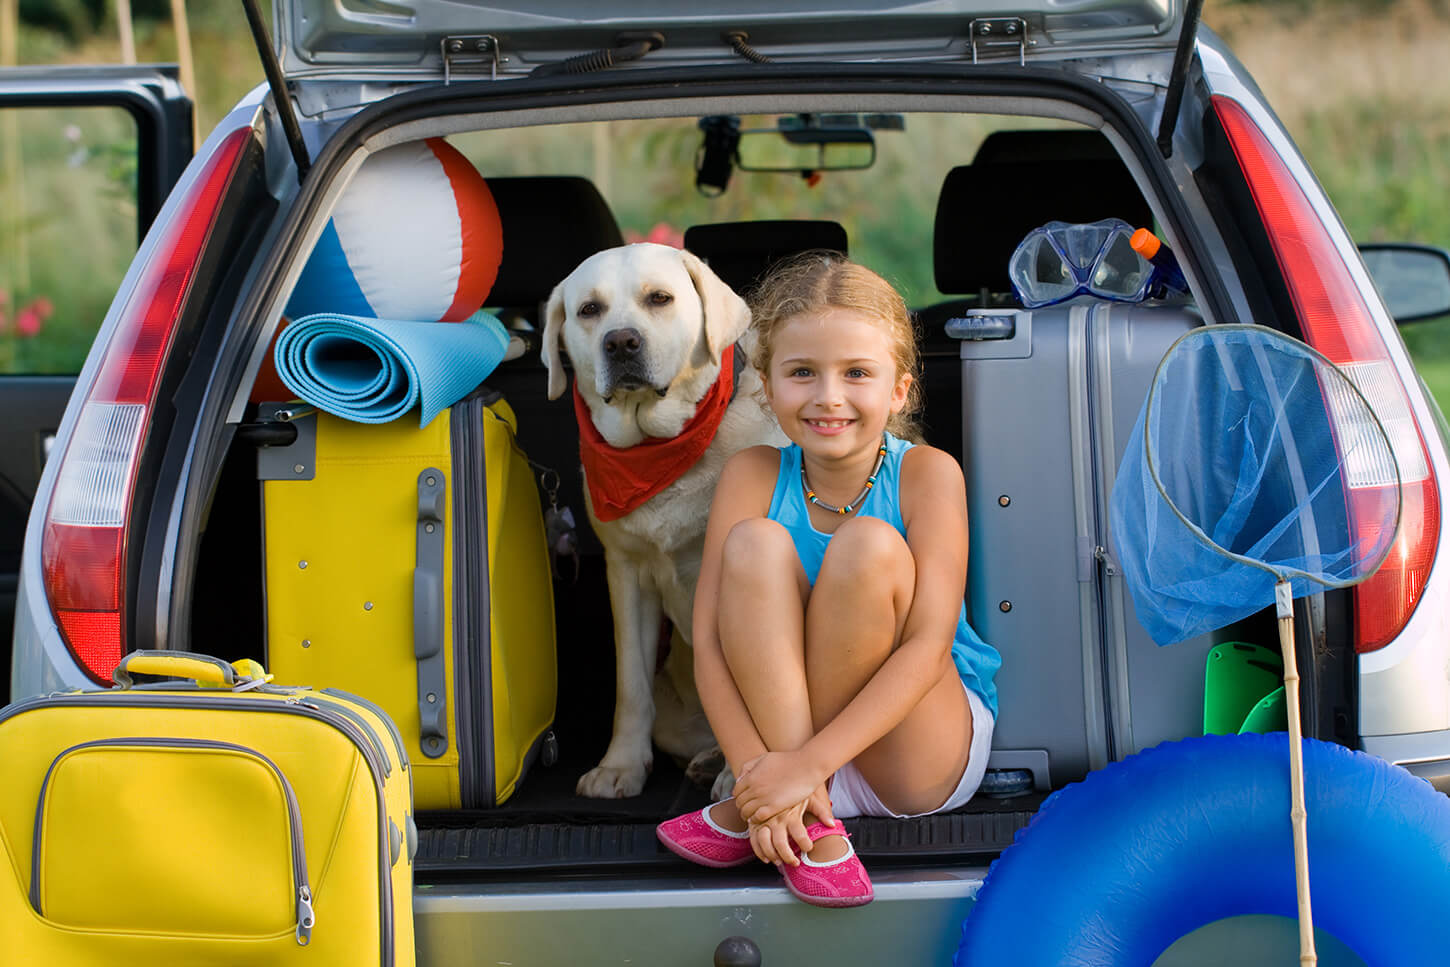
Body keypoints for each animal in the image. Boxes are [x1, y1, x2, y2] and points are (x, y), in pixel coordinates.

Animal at [545, 243, 783, 800]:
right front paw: (620, 767)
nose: (621, 342)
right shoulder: (626, 573)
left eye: (660, 298)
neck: (662, 449)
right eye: (589, 310)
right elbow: (630, 686)